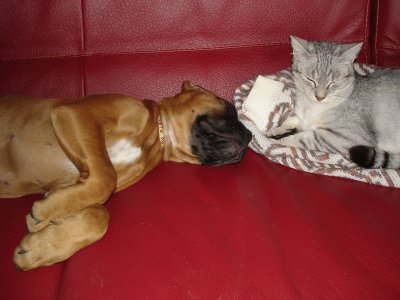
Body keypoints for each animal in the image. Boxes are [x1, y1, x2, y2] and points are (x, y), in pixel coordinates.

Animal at [0, 81, 250, 270]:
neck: (157, 135)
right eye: (228, 107)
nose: (249, 136)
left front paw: (41, 244)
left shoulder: (81, 180)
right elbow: (105, 180)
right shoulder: (75, 114)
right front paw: (46, 214)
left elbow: (98, 214)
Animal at [266, 35, 400, 169]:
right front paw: (275, 131)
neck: (311, 106)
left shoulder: (347, 137)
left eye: (333, 83)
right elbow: (291, 120)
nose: (319, 97)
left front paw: (276, 142)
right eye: (311, 80)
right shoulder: (301, 117)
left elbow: (304, 139)